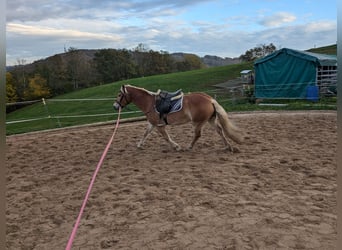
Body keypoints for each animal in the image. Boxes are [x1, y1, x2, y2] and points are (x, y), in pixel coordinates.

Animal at [114, 84, 243, 151]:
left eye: (119, 94)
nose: (115, 106)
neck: (150, 103)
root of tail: (209, 99)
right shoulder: (152, 123)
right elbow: (146, 133)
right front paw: (139, 145)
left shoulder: (159, 126)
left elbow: (166, 137)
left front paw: (176, 146)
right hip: (210, 120)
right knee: (220, 131)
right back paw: (228, 146)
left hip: (198, 122)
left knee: (198, 134)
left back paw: (189, 147)